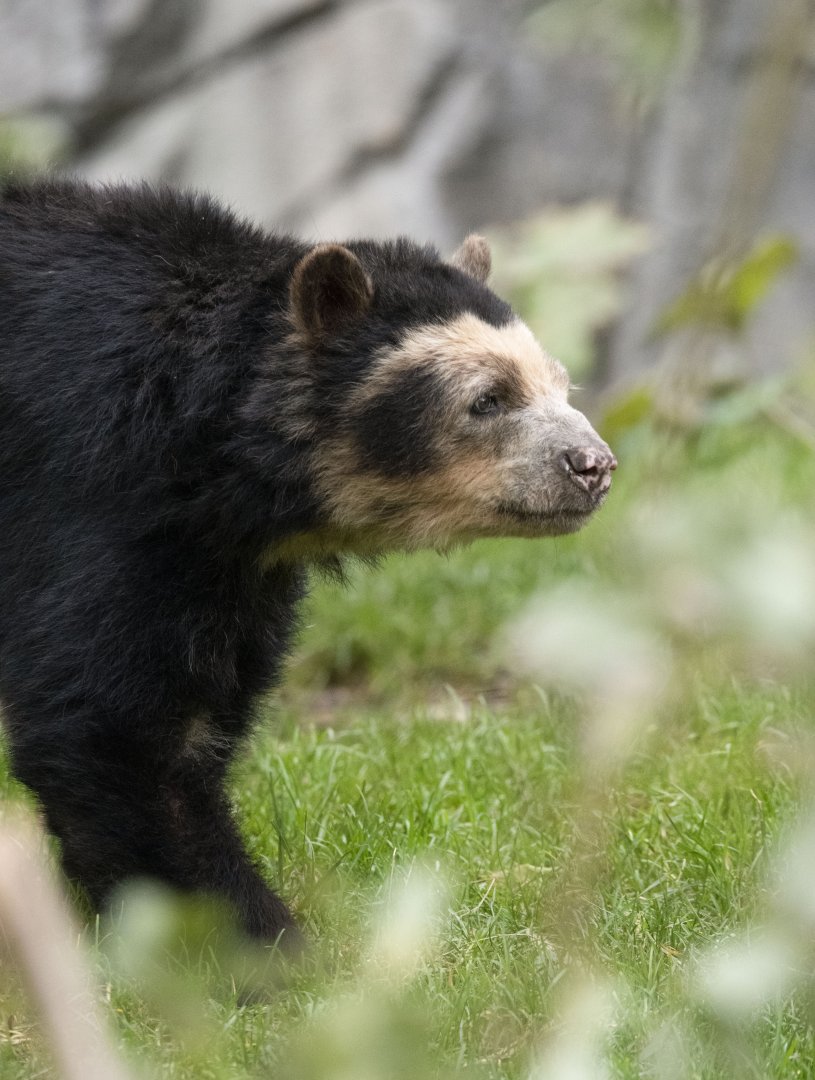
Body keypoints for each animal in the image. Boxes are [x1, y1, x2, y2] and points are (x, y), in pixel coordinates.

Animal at [0, 177, 615, 944]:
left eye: (561, 386)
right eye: (488, 399)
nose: (592, 466)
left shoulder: (223, 563)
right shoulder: (90, 487)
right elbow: (107, 720)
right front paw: (254, 938)